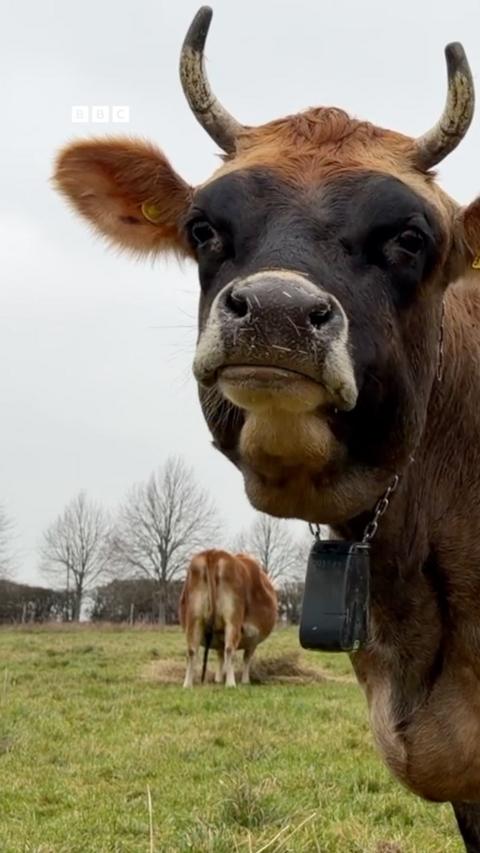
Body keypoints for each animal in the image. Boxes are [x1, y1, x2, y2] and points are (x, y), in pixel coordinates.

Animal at [178, 549, 277, 688]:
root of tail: (213, 553)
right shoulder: (253, 639)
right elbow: (246, 658)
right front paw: (245, 681)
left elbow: (220, 655)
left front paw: (218, 679)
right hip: (232, 620)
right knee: (230, 650)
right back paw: (231, 683)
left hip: (194, 618)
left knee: (192, 650)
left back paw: (187, 684)